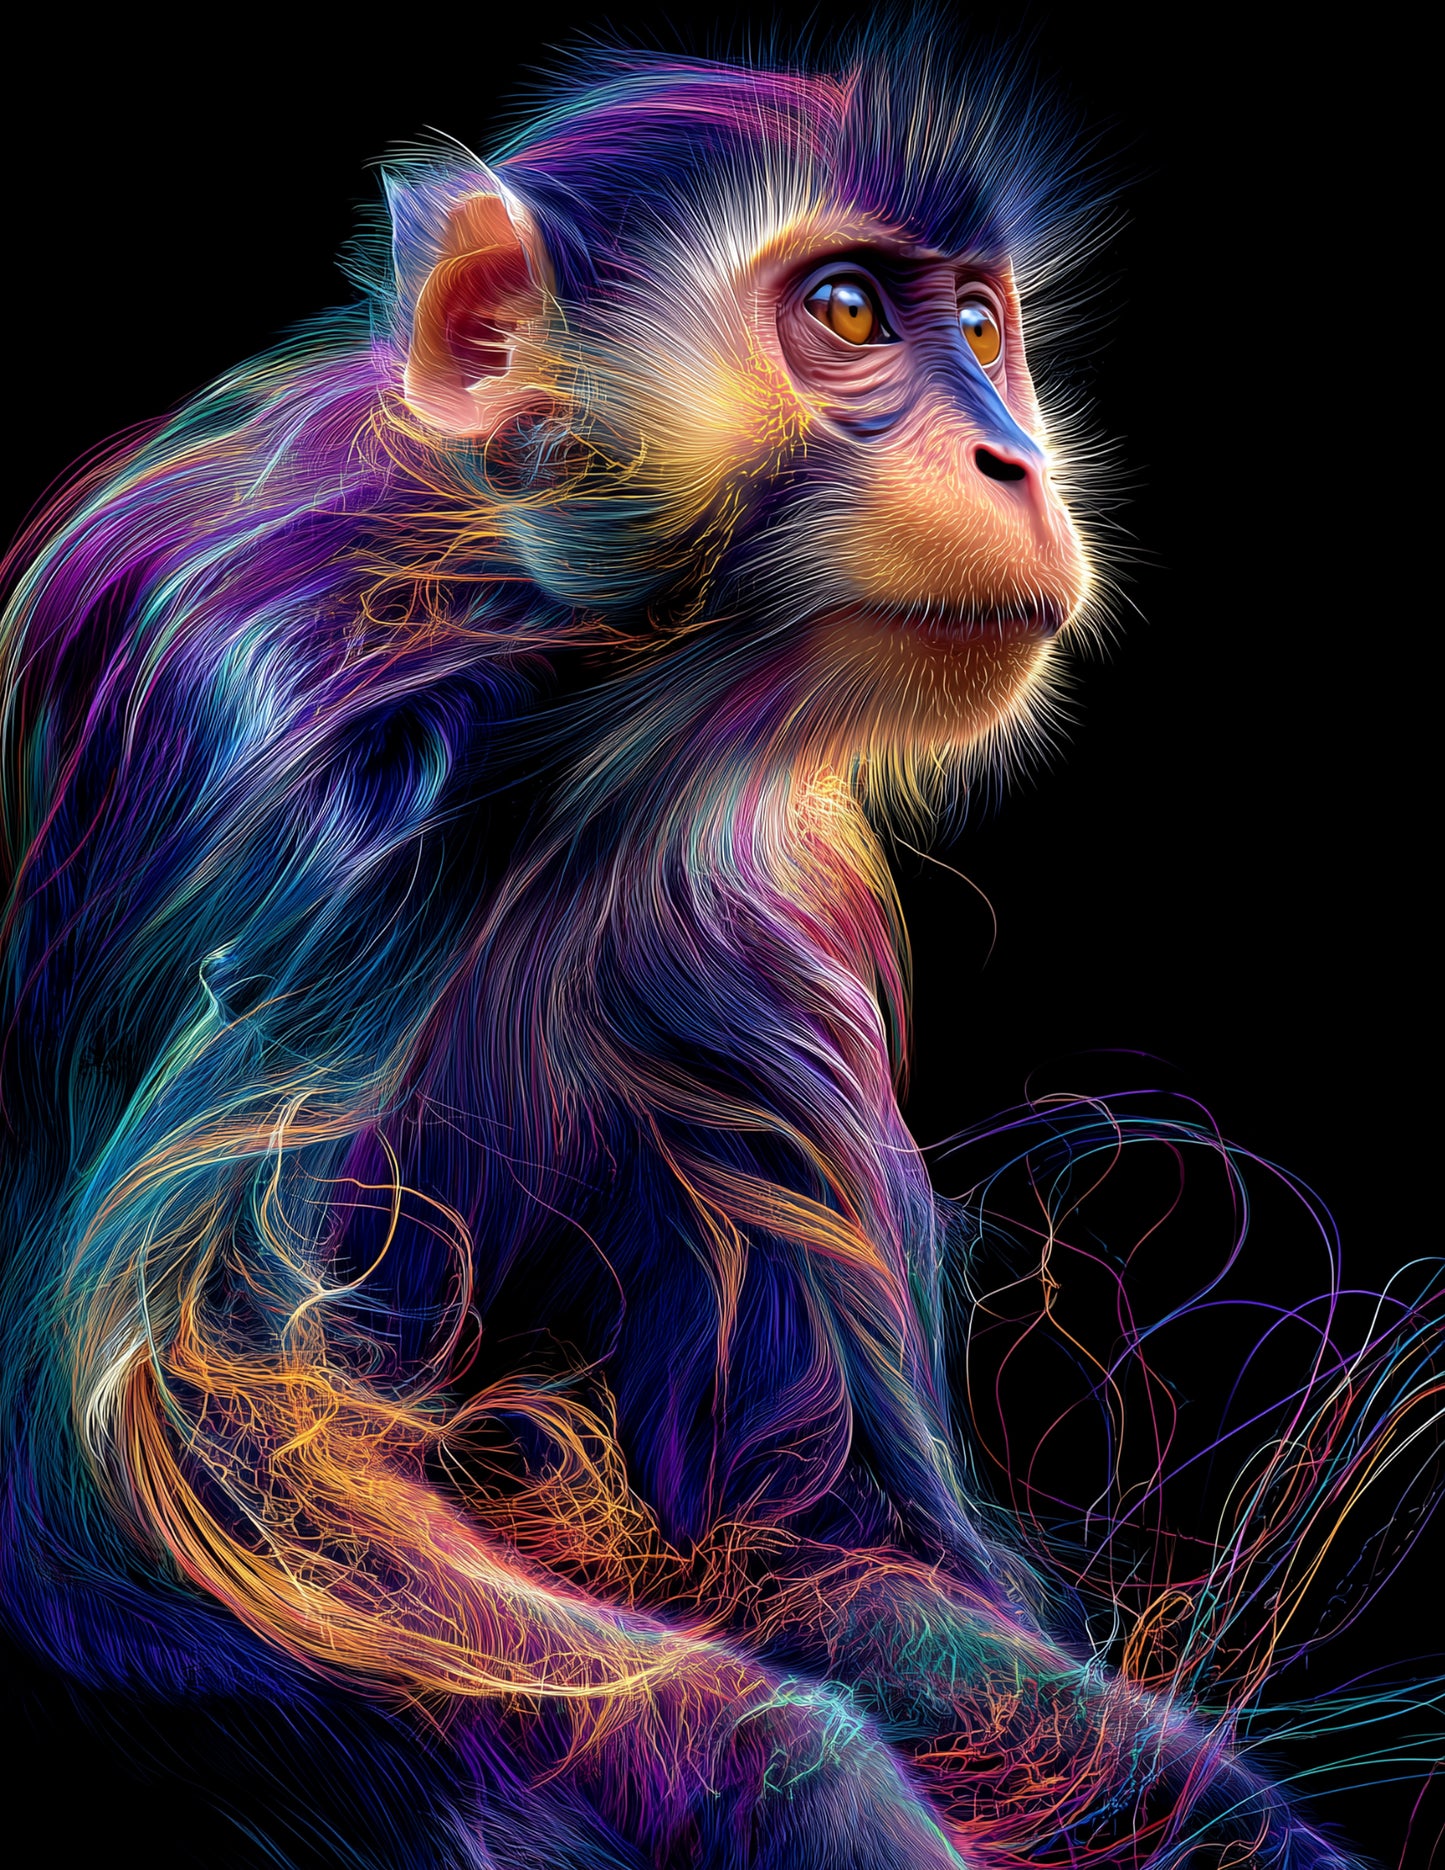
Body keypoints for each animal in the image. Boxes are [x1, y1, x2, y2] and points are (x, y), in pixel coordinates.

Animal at [0, 29, 1373, 1870]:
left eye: (984, 327)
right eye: (850, 313)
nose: (1018, 462)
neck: (541, 735)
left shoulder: (739, 931)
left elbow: (797, 1543)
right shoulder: (270, 774)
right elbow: (188, 1471)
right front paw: (834, 1792)